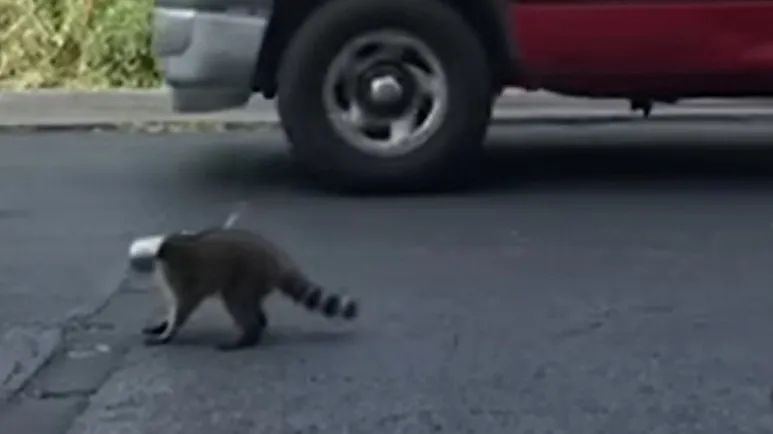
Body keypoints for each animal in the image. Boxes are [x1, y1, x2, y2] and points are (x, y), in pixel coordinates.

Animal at [130, 228, 358, 351]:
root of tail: (276, 256)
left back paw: (249, 334)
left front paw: (168, 332)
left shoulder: (184, 276)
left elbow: (184, 306)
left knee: (235, 301)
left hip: (247, 273)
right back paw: (259, 325)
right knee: (249, 304)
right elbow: (174, 306)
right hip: (255, 281)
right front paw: (163, 325)